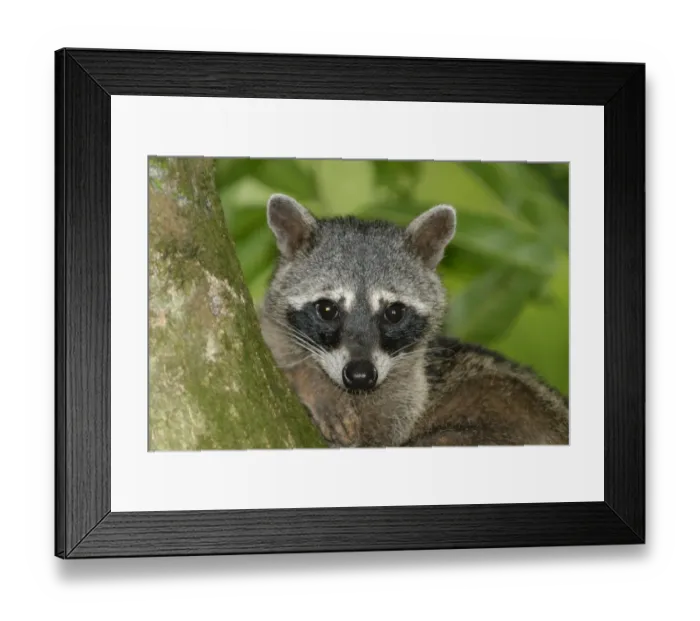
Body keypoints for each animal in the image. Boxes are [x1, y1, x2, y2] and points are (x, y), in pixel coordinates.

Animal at [259, 193, 569, 448]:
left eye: (394, 313)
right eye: (327, 309)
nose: (361, 376)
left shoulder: (408, 394)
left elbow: (375, 440)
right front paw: (310, 380)